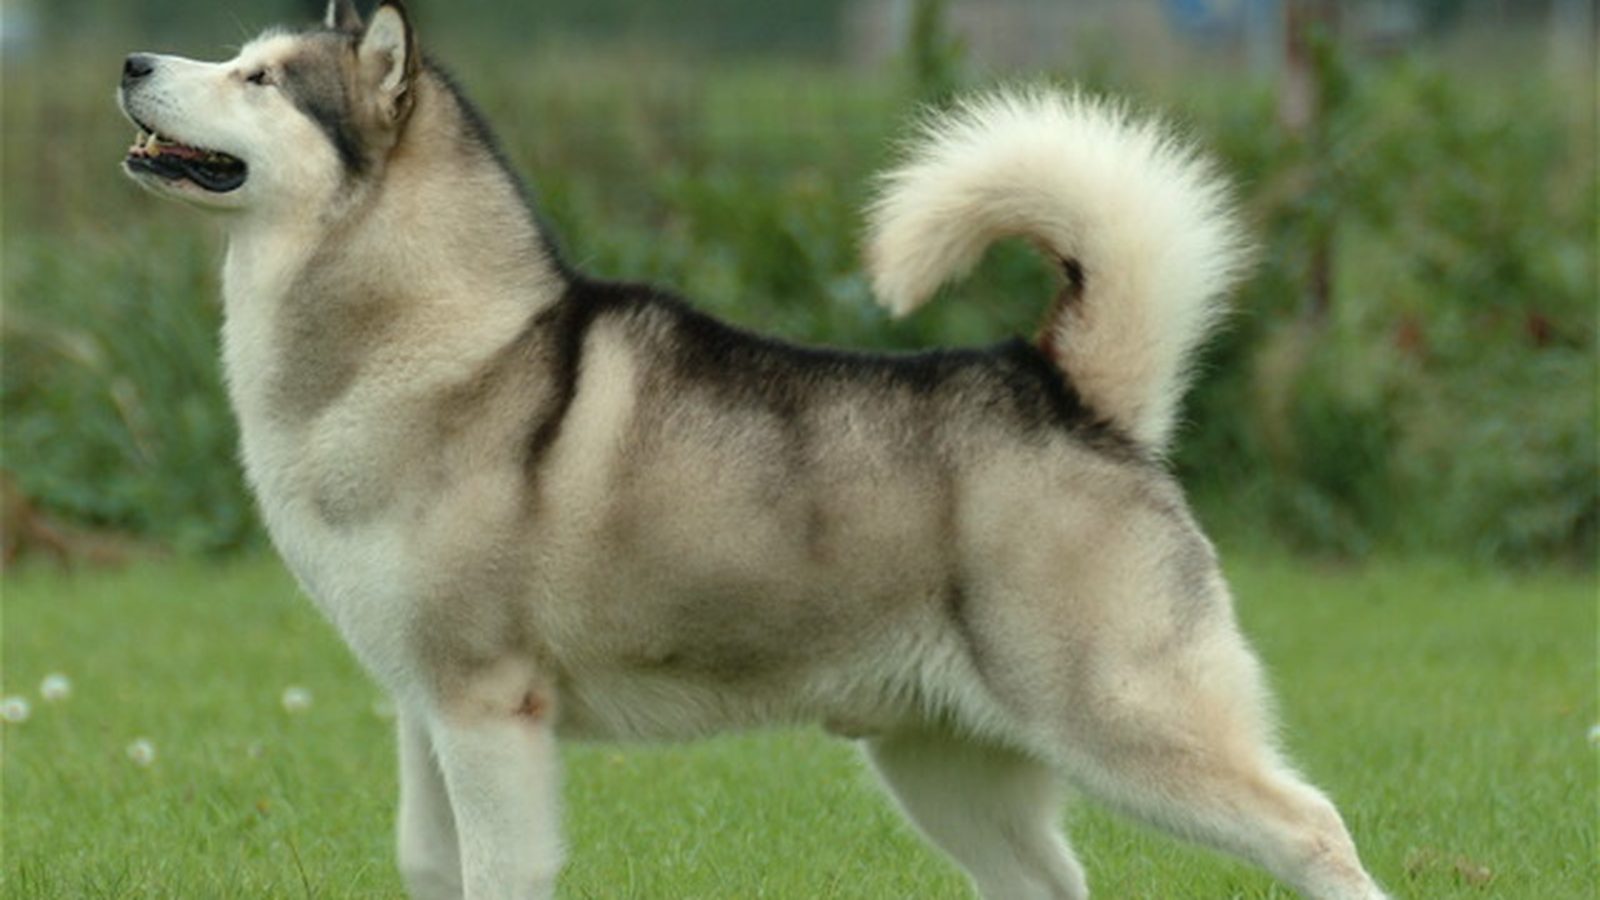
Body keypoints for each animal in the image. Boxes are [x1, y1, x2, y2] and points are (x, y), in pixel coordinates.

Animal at [117, 1, 1388, 897]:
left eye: (260, 79)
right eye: (236, 55)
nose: (131, 61)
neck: (434, 341)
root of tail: (1067, 388)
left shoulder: (487, 709)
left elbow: (493, 873)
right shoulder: (423, 707)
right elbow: (430, 867)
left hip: (1122, 718)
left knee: (1318, 828)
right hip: (947, 765)